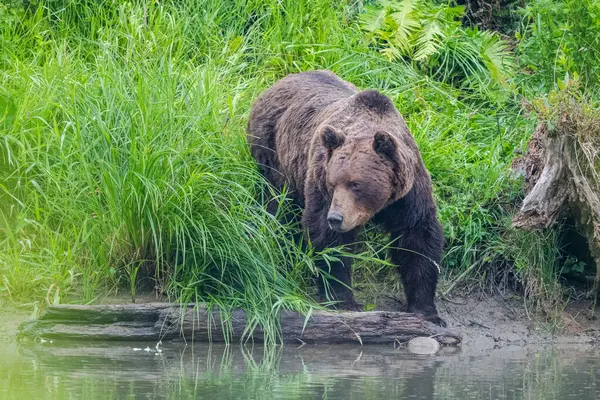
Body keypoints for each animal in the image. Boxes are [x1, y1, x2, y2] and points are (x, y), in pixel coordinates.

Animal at [245, 69, 446, 324]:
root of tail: (276, 83)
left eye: (356, 184)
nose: (336, 218)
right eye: (333, 183)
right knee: (277, 206)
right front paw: (344, 301)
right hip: (273, 155)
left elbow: (417, 241)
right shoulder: (320, 179)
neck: (380, 205)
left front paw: (425, 310)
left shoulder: (408, 195)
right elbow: (329, 242)